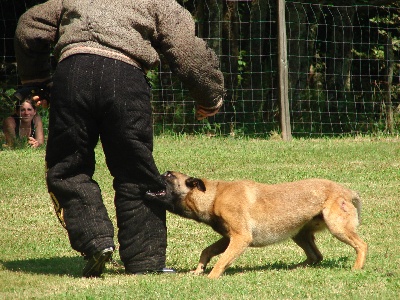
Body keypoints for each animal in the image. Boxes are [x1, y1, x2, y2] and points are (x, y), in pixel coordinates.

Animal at [148, 171, 368, 278]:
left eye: (169, 175)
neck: (214, 196)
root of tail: (347, 191)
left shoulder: (241, 238)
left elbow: (222, 260)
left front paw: (211, 276)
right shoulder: (229, 237)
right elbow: (207, 251)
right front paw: (198, 270)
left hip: (337, 227)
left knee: (361, 245)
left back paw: (356, 268)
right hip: (299, 234)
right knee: (316, 256)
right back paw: (295, 268)